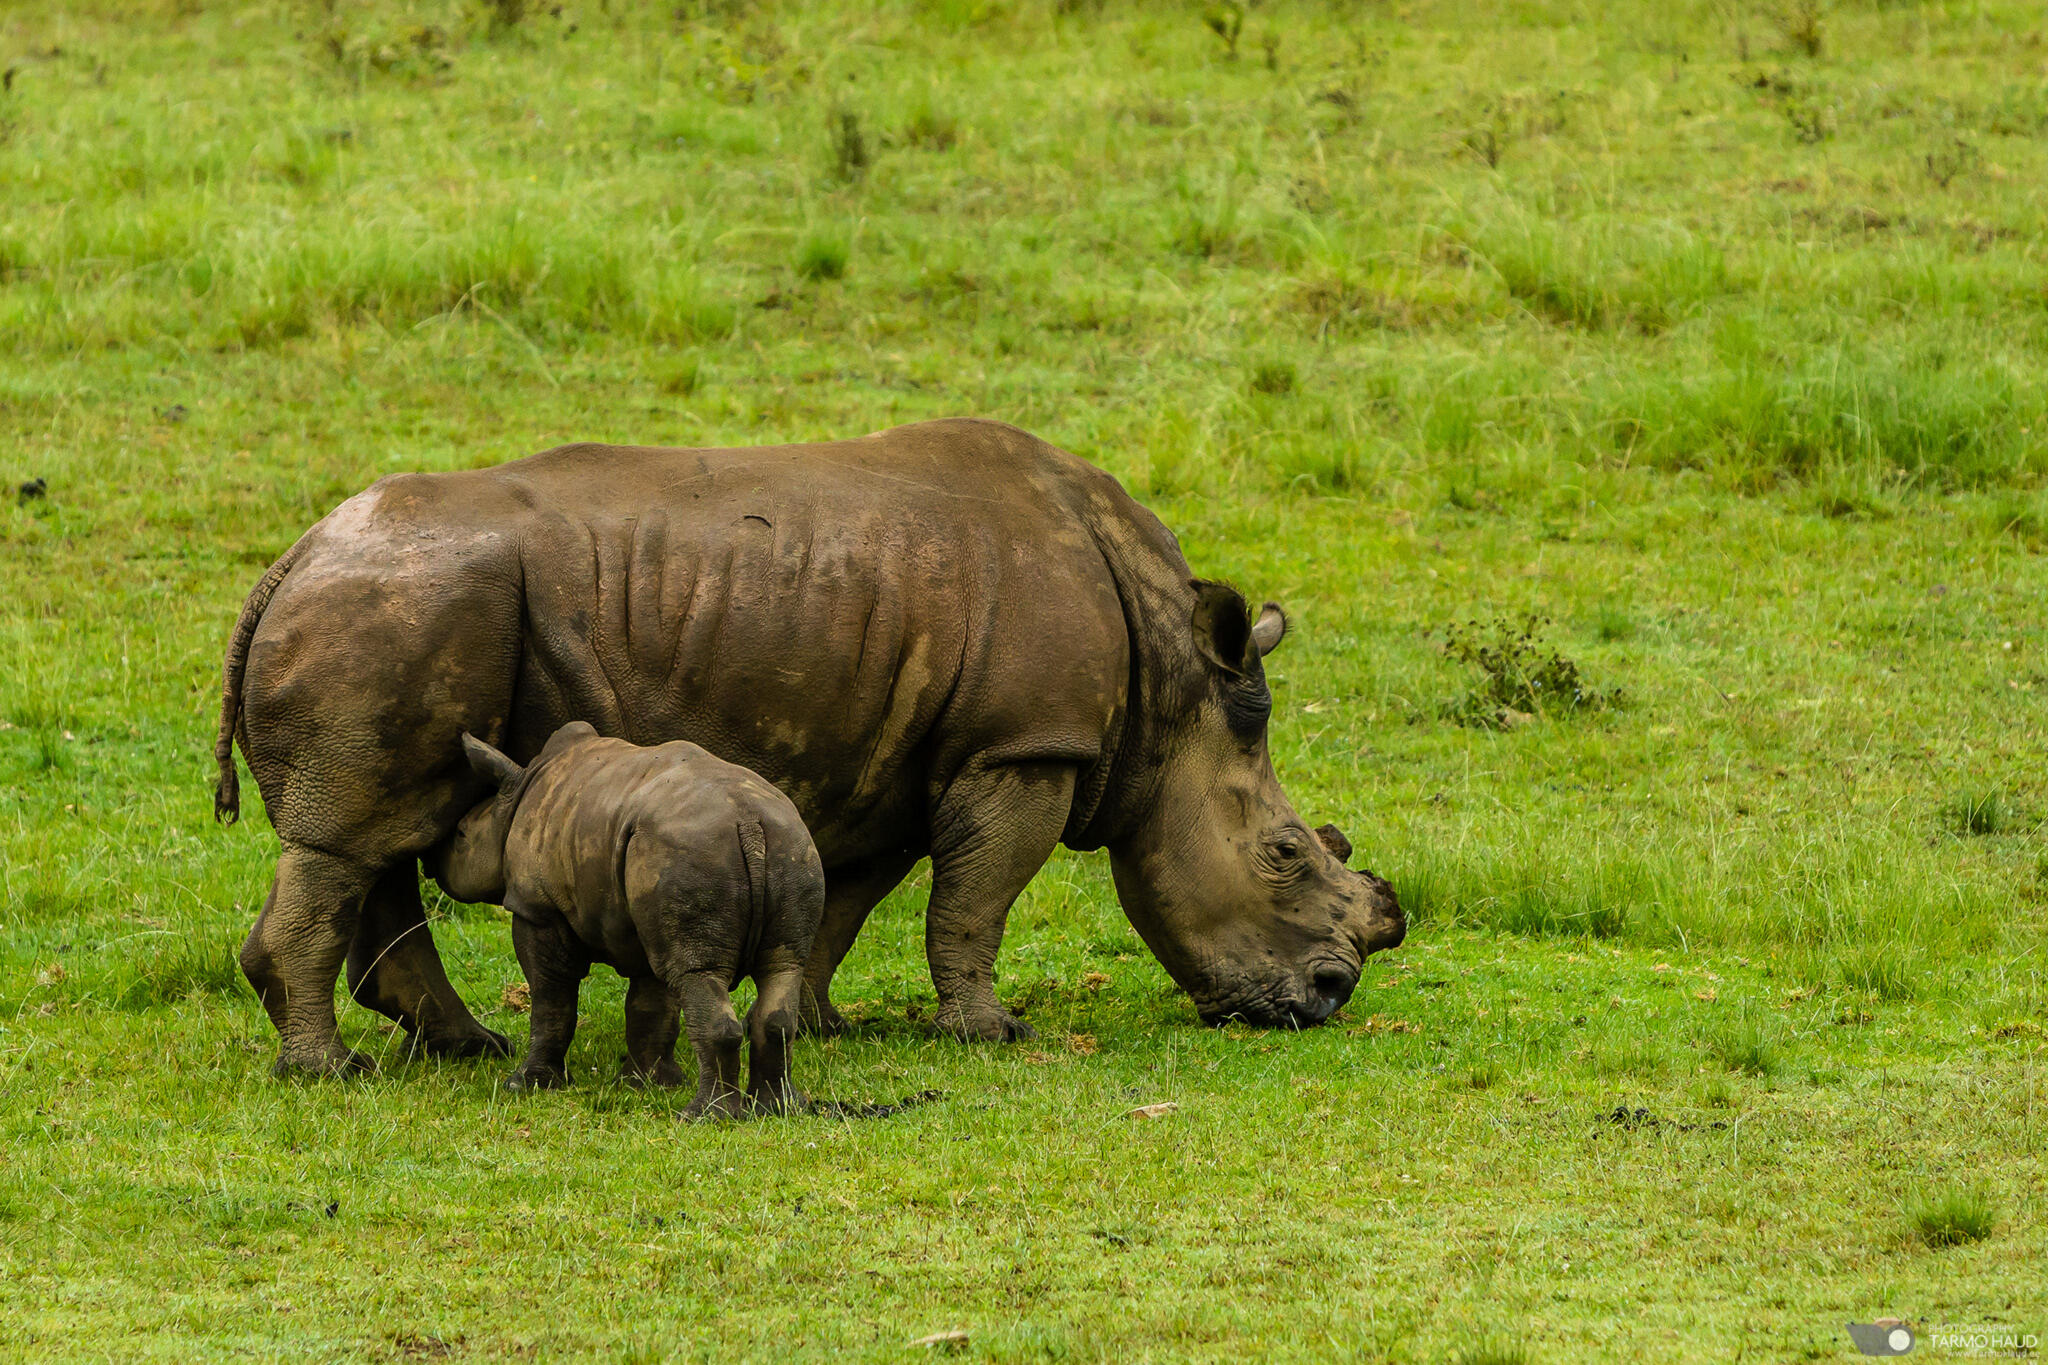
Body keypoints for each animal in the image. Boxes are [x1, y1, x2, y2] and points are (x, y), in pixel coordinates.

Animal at [214, 418, 1404, 1076]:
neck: (1171, 685)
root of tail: (291, 556)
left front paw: (823, 1022)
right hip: (401, 604)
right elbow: (974, 899)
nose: (1326, 998)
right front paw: (990, 1033)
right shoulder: (1025, 746)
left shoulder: (898, 755)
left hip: (402, 605)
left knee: (383, 831)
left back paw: (463, 1049)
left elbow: (852, 896)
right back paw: (332, 1073)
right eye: (1286, 856)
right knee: (349, 838)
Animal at [434, 723, 824, 1118]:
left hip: (694, 853)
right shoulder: (646, 914)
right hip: (787, 849)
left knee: (699, 973)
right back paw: (778, 1109)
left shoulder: (538, 907)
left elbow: (551, 998)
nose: (436, 864)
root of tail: (749, 823)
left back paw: (703, 1117)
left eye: (461, 835)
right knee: (782, 967)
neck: (514, 798)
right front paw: (646, 1084)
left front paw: (525, 1084)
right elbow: (650, 1003)